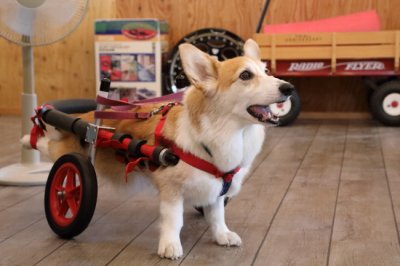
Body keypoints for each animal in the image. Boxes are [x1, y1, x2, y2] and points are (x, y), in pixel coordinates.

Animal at [24, 39, 294, 260]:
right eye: (245, 75)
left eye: (267, 72)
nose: (289, 88)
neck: (230, 133)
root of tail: (85, 118)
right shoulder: (171, 188)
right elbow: (174, 220)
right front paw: (170, 246)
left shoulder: (217, 185)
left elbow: (216, 214)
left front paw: (222, 235)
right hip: (73, 161)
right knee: (55, 155)